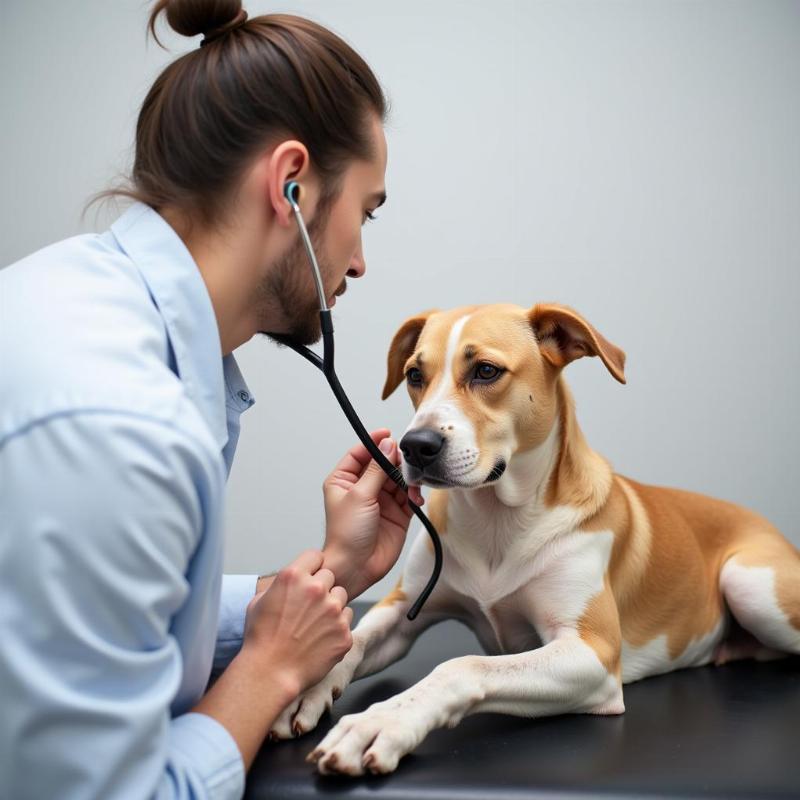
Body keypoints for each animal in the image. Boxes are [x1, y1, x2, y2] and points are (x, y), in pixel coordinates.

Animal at [270, 302, 800, 776]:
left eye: (486, 371)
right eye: (415, 375)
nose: (415, 447)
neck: (497, 519)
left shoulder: (591, 654)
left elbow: (462, 667)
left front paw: (383, 722)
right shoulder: (405, 608)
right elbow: (354, 641)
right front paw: (304, 683)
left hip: (748, 583)